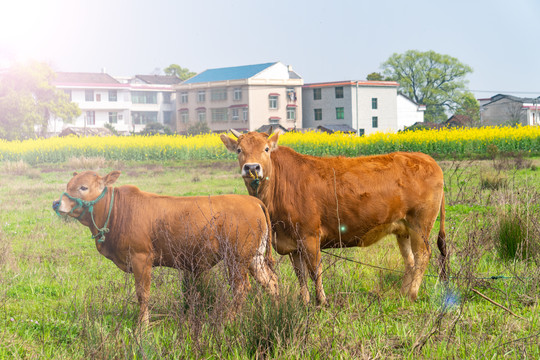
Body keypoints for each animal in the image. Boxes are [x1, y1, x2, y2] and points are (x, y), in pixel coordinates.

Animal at [53, 170, 278, 324]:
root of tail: (252, 201)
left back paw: (229, 320)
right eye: (68, 184)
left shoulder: (141, 258)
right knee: (270, 282)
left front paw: (142, 324)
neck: (118, 210)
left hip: (237, 259)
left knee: (241, 289)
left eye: (83, 187)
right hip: (255, 258)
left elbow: (143, 294)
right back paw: (276, 307)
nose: (57, 203)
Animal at [220, 131, 448, 306]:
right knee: (410, 261)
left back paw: (412, 294)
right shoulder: (292, 243)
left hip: (420, 225)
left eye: (266, 149)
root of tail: (426, 158)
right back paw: (402, 293)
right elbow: (300, 275)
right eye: (239, 150)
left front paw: (322, 301)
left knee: (422, 256)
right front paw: (305, 302)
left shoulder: (309, 236)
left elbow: (315, 270)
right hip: (403, 229)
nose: (252, 168)